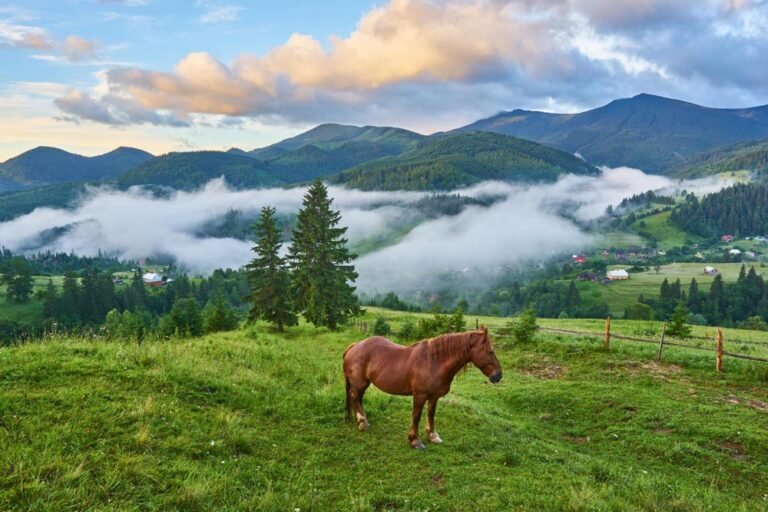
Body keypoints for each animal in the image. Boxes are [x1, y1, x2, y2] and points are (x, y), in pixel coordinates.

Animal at [342, 326, 502, 449]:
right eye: (490, 351)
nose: (498, 375)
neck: (434, 362)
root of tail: (354, 346)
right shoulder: (420, 395)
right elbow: (416, 415)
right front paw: (414, 440)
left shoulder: (433, 396)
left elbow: (431, 414)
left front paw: (432, 435)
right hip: (360, 383)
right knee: (355, 397)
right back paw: (362, 423)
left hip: (363, 384)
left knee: (357, 399)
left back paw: (362, 420)